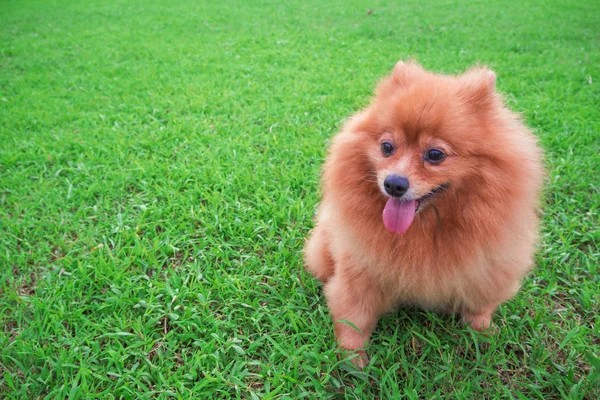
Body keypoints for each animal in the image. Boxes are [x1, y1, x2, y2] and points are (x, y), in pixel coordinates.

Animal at [304, 61, 544, 368]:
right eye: (387, 147)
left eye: (435, 154)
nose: (394, 183)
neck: (424, 227)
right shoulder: (360, 270)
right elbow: (354, 316)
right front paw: (352, 360)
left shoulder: (488, 265)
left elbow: (479, 306)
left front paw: (483, 335)